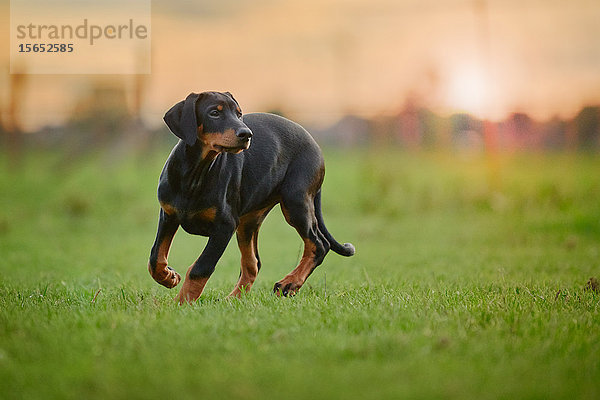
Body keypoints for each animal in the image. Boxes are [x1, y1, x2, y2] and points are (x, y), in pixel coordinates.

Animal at [148, 91, 354, 304]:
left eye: (239, 114)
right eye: (214, 113)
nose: (246, 134)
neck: (195, 173)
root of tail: (314, 143)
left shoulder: (225, 226)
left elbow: (201, 267)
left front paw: (182, 303)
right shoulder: (168, 215)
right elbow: (155, 258)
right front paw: (168, 277)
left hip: (296, 202)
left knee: (319, 245)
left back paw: (289, 283)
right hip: (248, 222)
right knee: (253, 263)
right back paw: (233, 299)